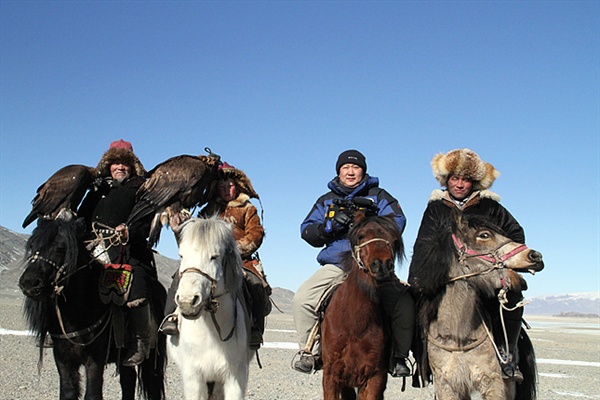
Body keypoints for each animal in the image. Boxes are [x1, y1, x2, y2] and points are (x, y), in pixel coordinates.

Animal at [18, 216, 166, 400]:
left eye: (61, 248)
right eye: (32, 246)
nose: (29, 283)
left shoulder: (95, 360)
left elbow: (93, 394)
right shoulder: (63, 359)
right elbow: (68, 392)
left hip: (153, 355)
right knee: (128, 380)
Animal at [322, 216, 406, 400]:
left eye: (394, 240)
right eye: (361, 236)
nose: (382, 265)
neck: (355, 324)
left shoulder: (375, 376)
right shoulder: (331, 374)